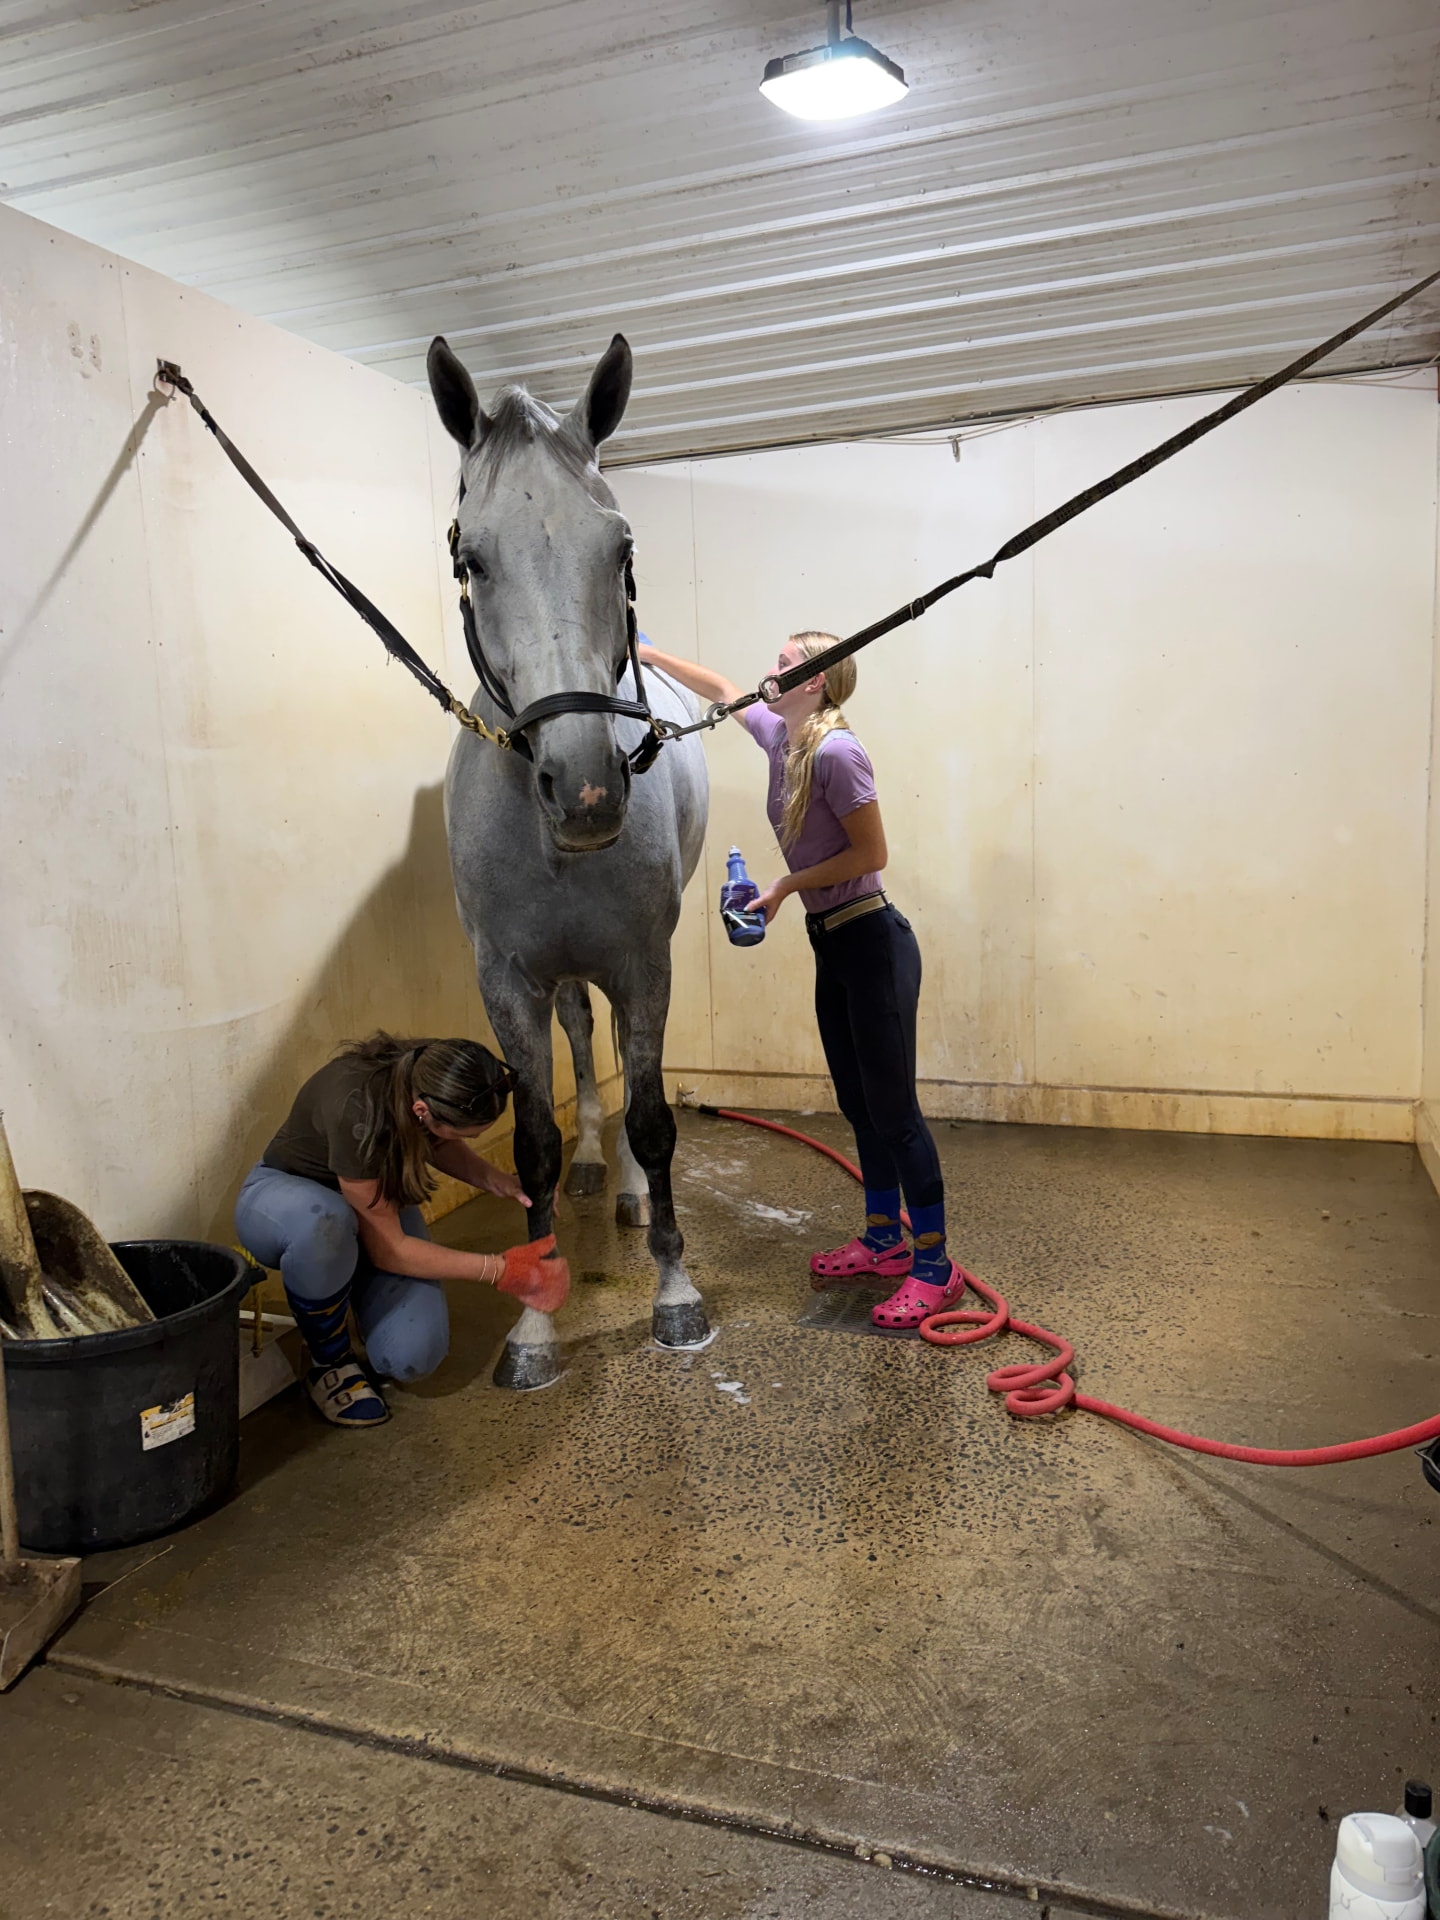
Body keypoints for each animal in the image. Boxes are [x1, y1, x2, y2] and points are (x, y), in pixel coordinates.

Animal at [427, 332, 711, 1389]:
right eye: (472, 558)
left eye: (620, 549)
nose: (586, 788)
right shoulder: (507, 978)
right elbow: (537, 1143)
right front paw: (533, 1326)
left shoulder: (645, 962)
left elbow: (655, 1115)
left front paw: (675, 1292)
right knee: (585, 1042)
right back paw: (598, 1165)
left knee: (621, 1062)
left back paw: (625, 1184)